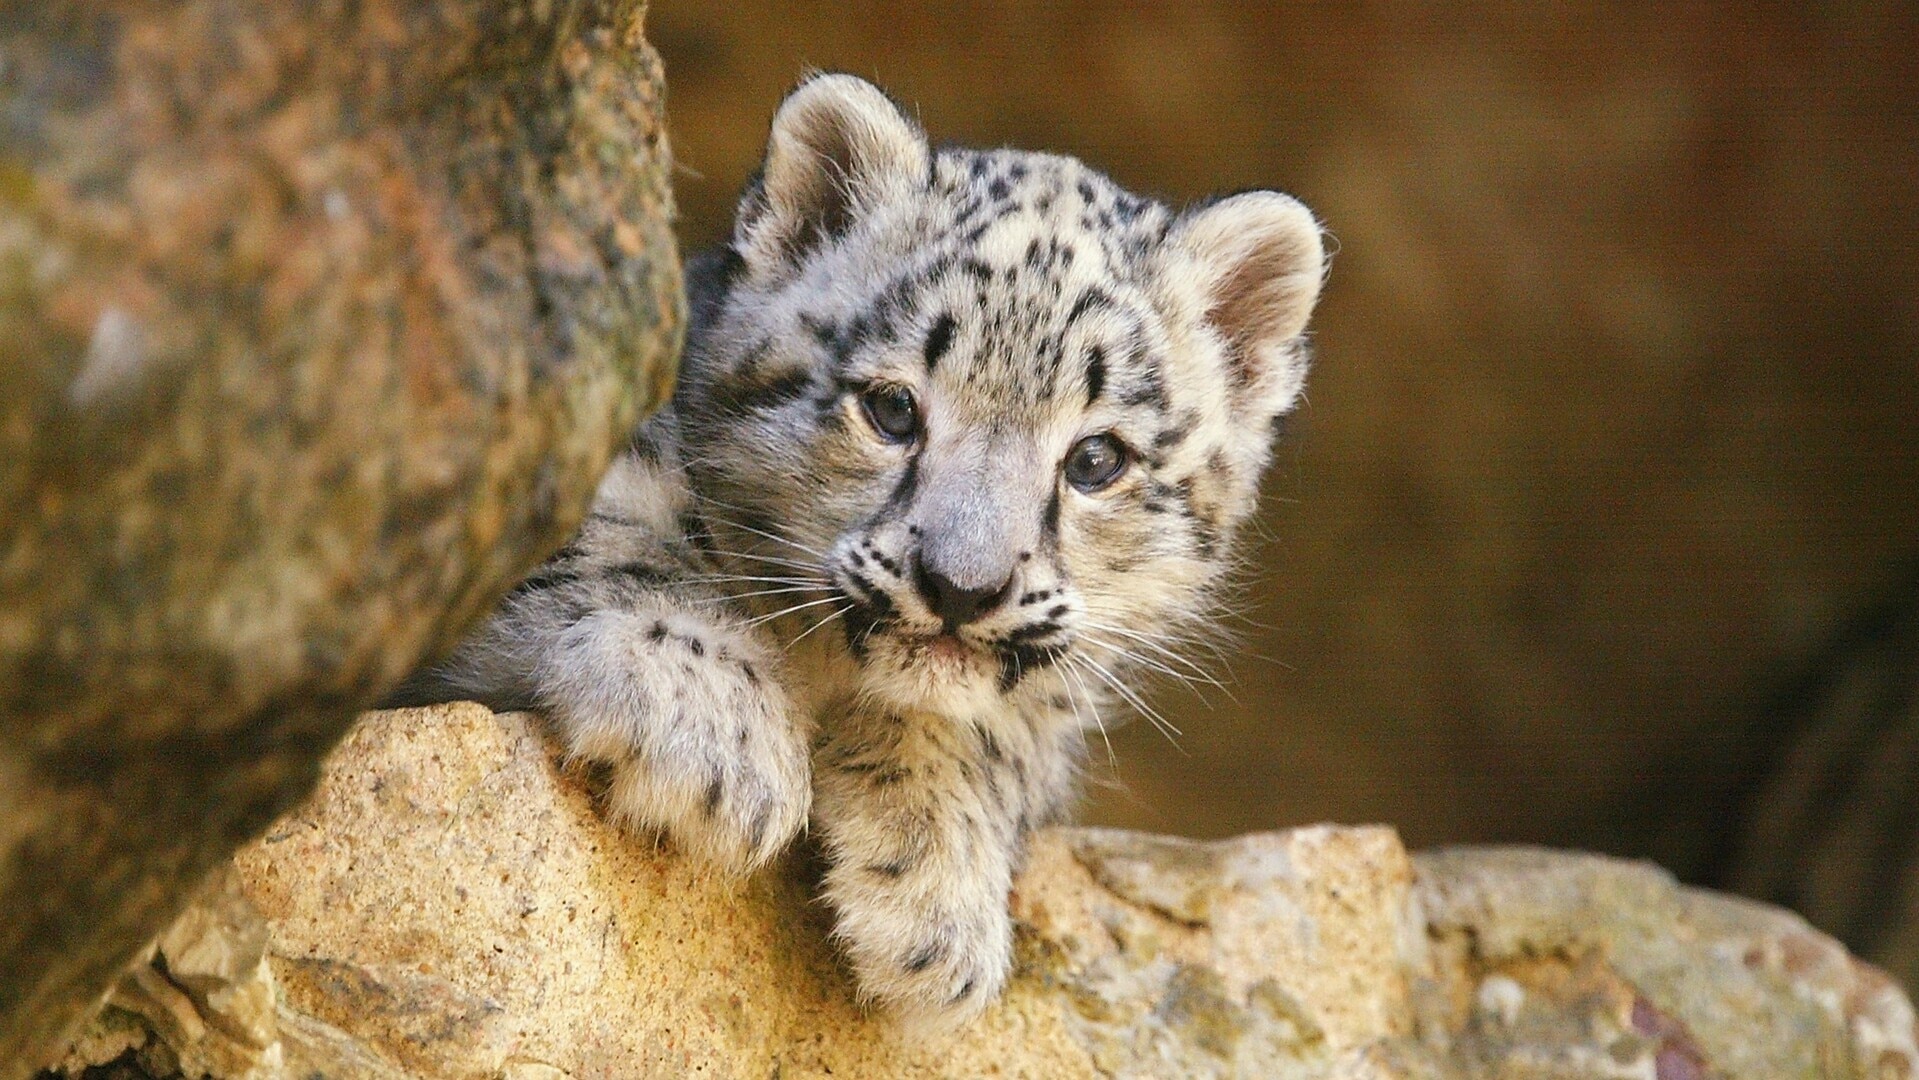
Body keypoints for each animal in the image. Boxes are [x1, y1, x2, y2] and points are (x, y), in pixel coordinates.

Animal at [393, 72, 1327, 1028]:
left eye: (1096, 460)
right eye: (891, 408)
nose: (961, 588)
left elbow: (998, 730)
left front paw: (934, 893)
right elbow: (599, 535)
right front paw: (712, 727)